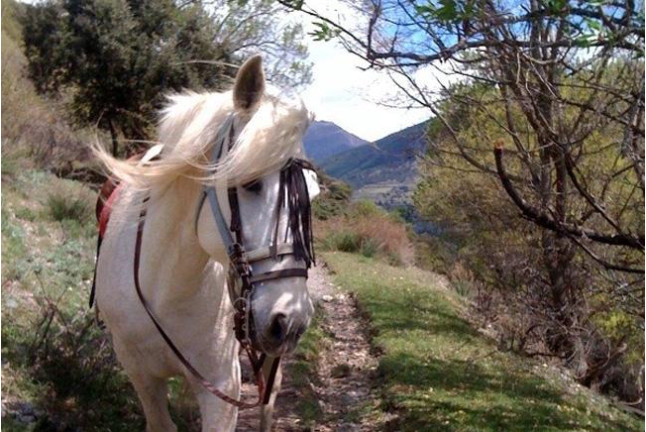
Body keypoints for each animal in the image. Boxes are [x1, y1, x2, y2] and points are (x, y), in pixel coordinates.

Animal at [93, 56, 318, 432]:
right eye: (251, 183)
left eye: (310, 196)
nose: (291, 322)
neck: (165, 287)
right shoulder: (140, 374)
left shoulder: (222, 387)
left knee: (269, 396)